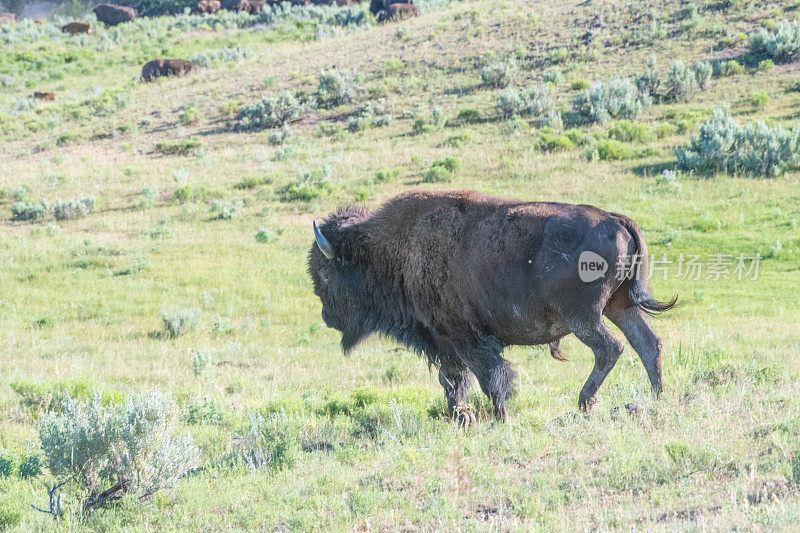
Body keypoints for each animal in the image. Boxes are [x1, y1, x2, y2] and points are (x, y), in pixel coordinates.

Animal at [310, 190, 680, 424]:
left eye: (326, 273)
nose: (327, 317)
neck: (395, 250)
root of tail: (616, 219)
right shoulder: (446, 341)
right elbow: (453, 379)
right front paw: (460, 416)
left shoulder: (461, 337)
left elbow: (485, 376)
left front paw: (495, 418)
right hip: (620, 306)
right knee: (647, 344)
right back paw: (657, 397)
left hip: (583, 317)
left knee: (610, 348)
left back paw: (584, 403)